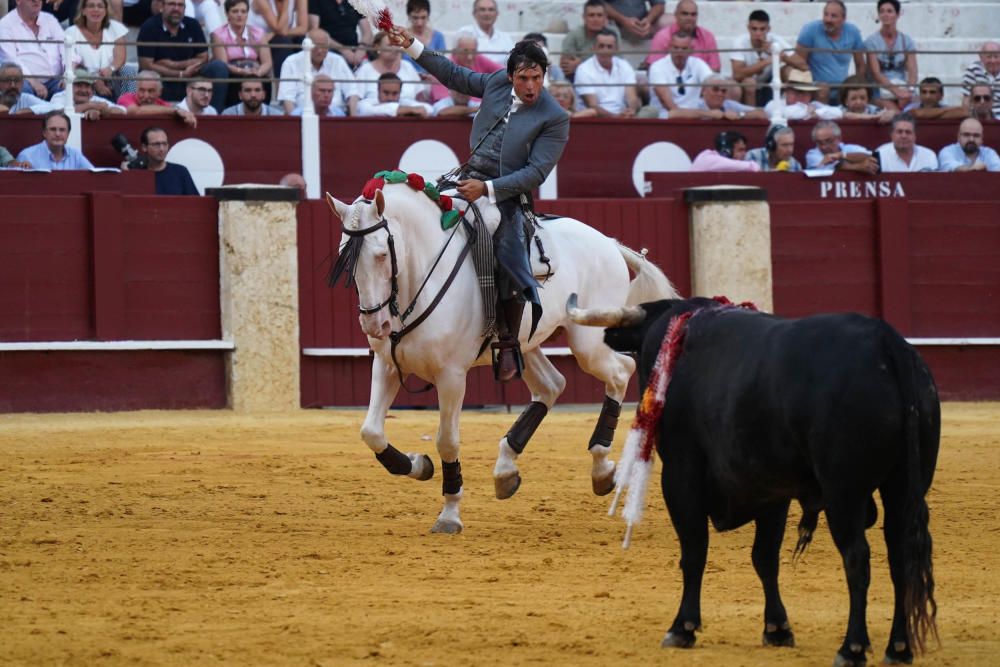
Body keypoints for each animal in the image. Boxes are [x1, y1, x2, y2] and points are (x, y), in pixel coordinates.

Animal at [328, 180, 680, 536]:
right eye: (345, 257)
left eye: (382, 254)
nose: (375, 324)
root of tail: (608, 243)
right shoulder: (386, 364)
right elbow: (371, 431)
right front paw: (419, 464)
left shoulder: (452, 376)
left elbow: (447, 441)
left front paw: (450, 514)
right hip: (526, 344)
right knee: (552, 385)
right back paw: (506, 470)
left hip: (588, 342)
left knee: (621, 370)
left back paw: (602, 468)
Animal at [604, 298, 940, 667]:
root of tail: (886, 342)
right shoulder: (771, 489)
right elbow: (765, 557)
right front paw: (777, 628)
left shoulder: (681, 474)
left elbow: (694, 552)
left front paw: (683, 627)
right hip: (904, 487)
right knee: (901, 556)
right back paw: (898, 648)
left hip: (844, 493)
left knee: (856, 558)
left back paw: (851, 647)